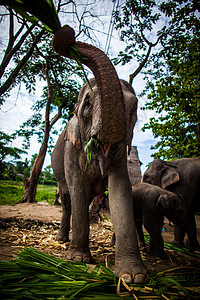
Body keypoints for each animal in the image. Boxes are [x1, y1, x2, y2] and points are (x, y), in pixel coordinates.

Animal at [50, 25, 146, 284]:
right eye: (87, 104)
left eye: (133, 108)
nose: (66, 32)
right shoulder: (71, 149)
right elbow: (77, 188)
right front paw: (78, 259)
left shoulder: (121, 154)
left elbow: (119, 189)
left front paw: (133, 276)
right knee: (68, 201)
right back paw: (62, 239)